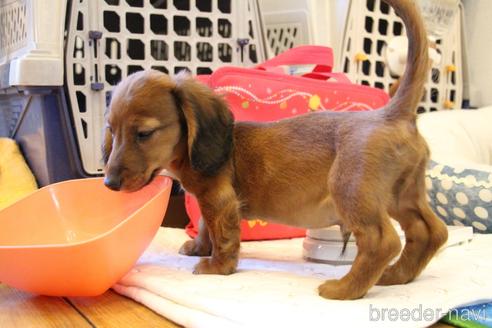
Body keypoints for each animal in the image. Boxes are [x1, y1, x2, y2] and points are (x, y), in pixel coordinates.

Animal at [104, 0, 450, 298]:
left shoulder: (220, 200)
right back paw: (397, 275)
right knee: (432, 231)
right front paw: (199, 248)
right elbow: (205, 226)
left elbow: (222, 235)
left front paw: (217, 266)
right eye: (111, 130)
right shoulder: (208, 201)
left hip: (352, 190)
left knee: (383, 241)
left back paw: (346, 288)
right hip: (402, 196)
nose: (109, 183)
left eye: (144, 133)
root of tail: (392, 112)